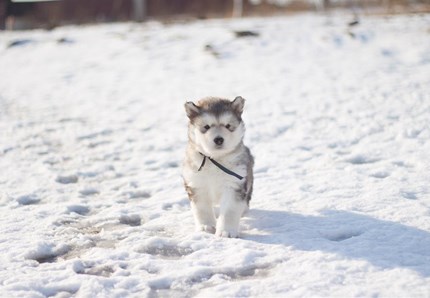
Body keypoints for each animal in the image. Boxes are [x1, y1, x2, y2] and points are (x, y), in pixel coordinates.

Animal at [183, 96, 254, 239]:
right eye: (206, 127)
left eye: (228, 126)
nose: (219, 139)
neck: (215, 159)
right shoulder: (197, 184)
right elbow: (202, 209)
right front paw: (206, 227)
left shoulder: (234, 185)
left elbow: (229, 211)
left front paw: (226, 231)